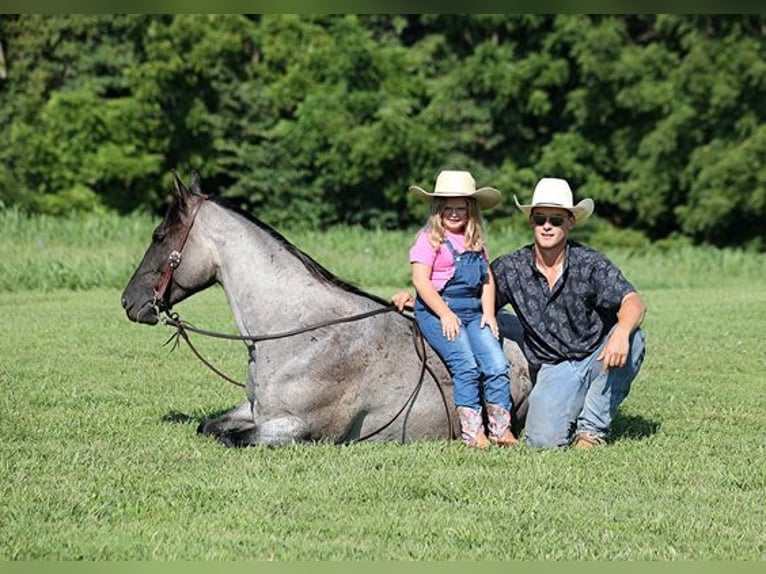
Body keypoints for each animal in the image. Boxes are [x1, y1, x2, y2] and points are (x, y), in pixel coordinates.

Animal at [121, 173, 536, 448]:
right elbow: (209, 427)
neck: (302, 333)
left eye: (159, 235)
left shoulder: (299, 428)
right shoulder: (255, 410)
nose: (129, 301)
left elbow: (235, 438)